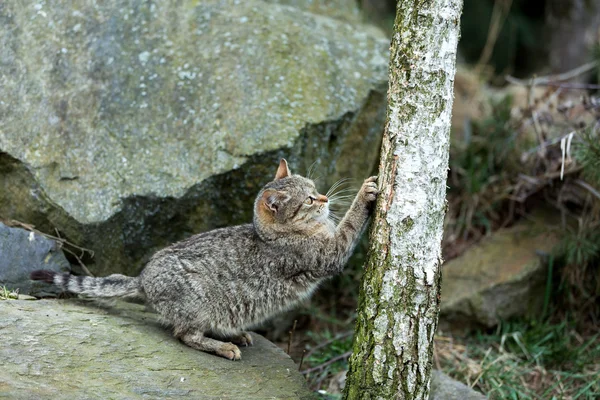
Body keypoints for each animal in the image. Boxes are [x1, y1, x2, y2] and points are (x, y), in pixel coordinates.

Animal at [30, 159, 378, 360]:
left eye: (315, 188)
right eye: (307, 200)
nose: (325, 198)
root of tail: (142, 278)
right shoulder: (330, 254)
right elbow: (350, 223)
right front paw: (365, 192)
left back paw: (235, 333)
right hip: (198, 305)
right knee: (185, 335)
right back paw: (224, 346)